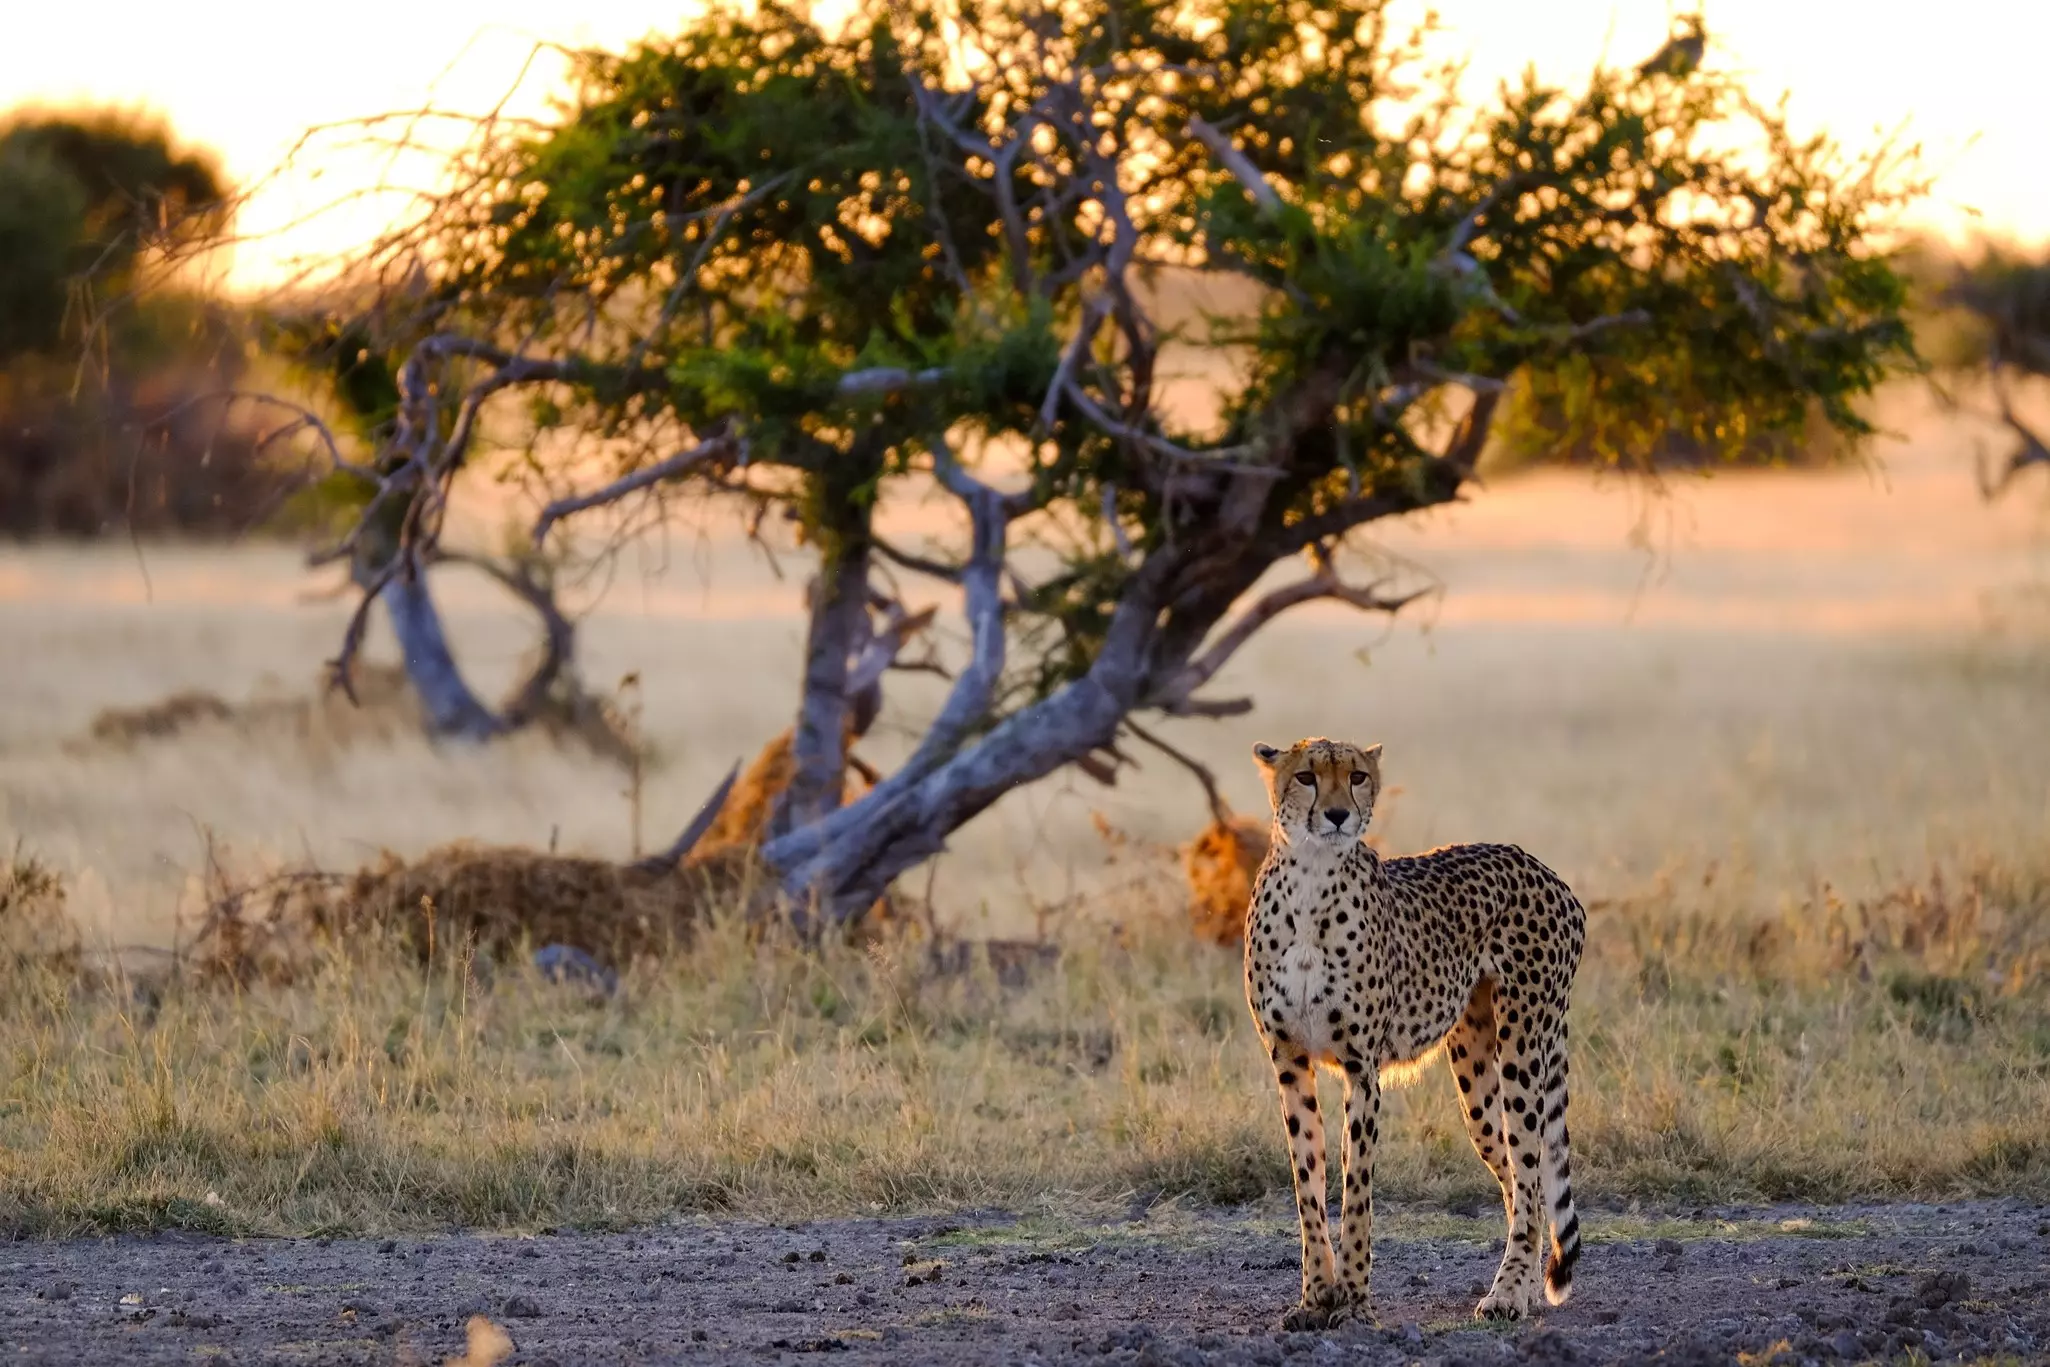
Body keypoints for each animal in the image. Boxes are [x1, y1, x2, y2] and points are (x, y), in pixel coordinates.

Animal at [1242, 737, 1588, 1329]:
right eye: (1306, 776)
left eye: (1357, 776)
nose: (1338, 815)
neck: (1310, 882)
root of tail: (1538, 865)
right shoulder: (1289, 1063)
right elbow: (1308, 1185)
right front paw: (1315, 1298)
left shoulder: (1362, 1070)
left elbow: (1357, 1191)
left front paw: (1354, 1302)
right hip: (1475, 1084)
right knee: (1522, 1181)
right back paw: (1519, 1288)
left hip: (1523, 1047)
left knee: (1530, 1172)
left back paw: (1507, 1294)